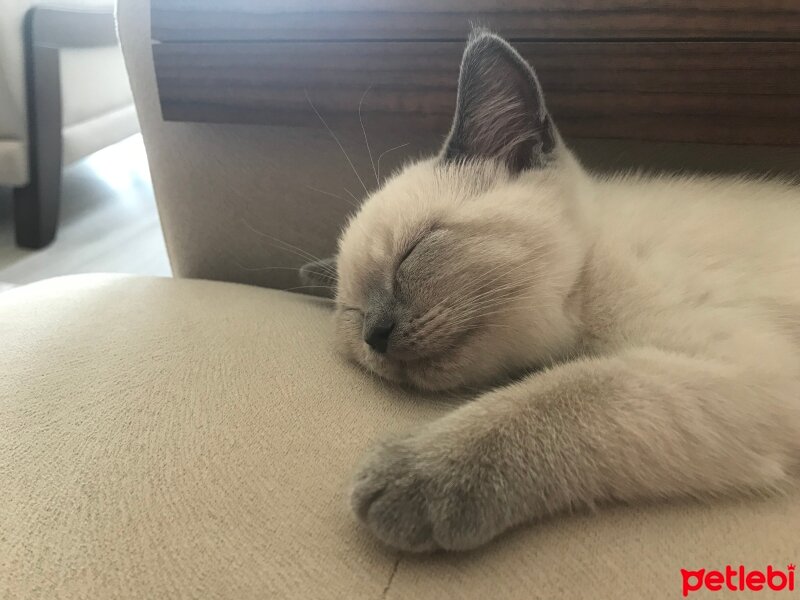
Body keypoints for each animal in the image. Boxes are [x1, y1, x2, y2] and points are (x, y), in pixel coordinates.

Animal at [298, 30, 800, 552]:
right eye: (354, 313)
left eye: (412, 253)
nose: (376, 334)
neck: (589, 283)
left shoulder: (756, 372)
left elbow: (578, 388)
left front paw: (416, 474)